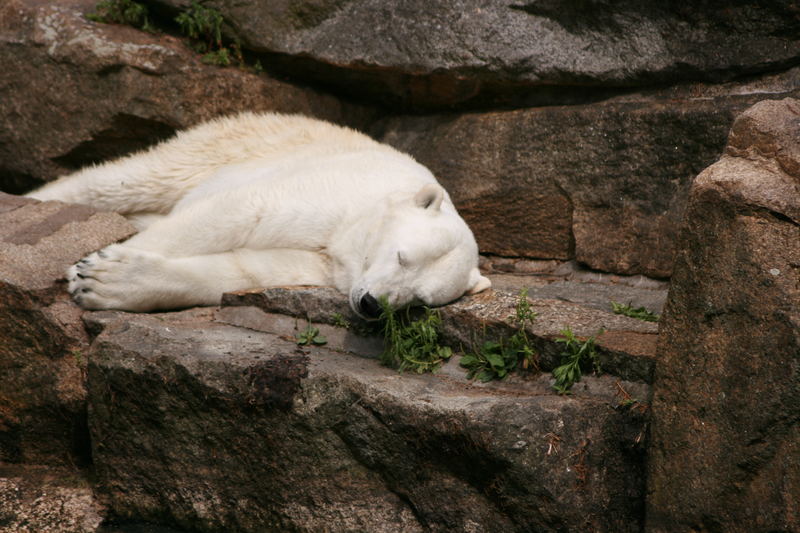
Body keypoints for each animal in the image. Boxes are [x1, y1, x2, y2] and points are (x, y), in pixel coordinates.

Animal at [28, 112, 490, 318]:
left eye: (421, 302)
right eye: (401, 256)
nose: (371, 304)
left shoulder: (324, 268)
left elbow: (249, 269)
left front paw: (108, 283)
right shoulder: (335, 194)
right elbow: (240, 213)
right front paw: (84, 272)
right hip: (245, 140)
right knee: (135, 178)